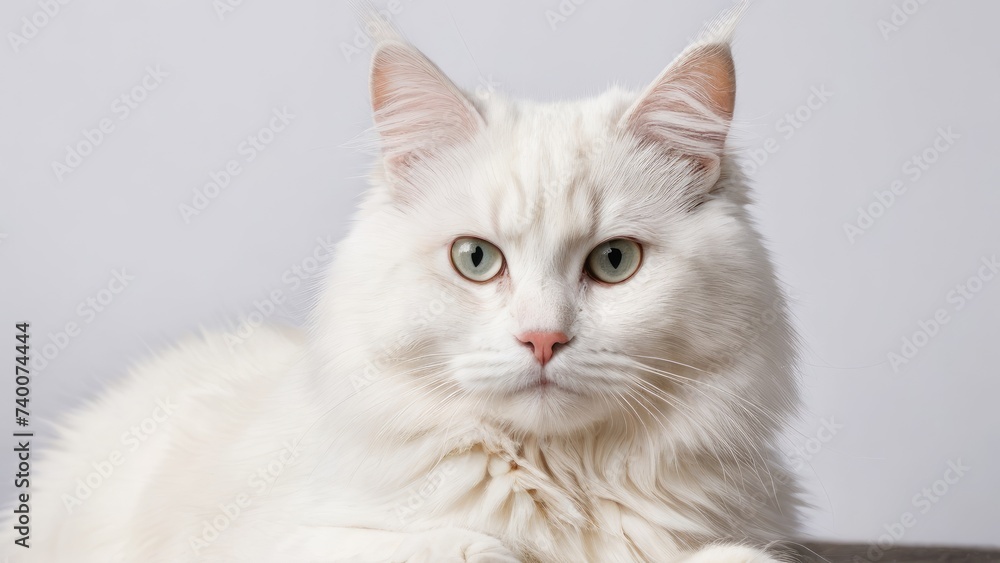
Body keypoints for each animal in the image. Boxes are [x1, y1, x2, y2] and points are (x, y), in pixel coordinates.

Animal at [3, 5, 800, 563]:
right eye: (475, 259)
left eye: (613, 262)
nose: (543, 338)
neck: (559, 481)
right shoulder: (298, 535)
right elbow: (455, 546)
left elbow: (731, 556)